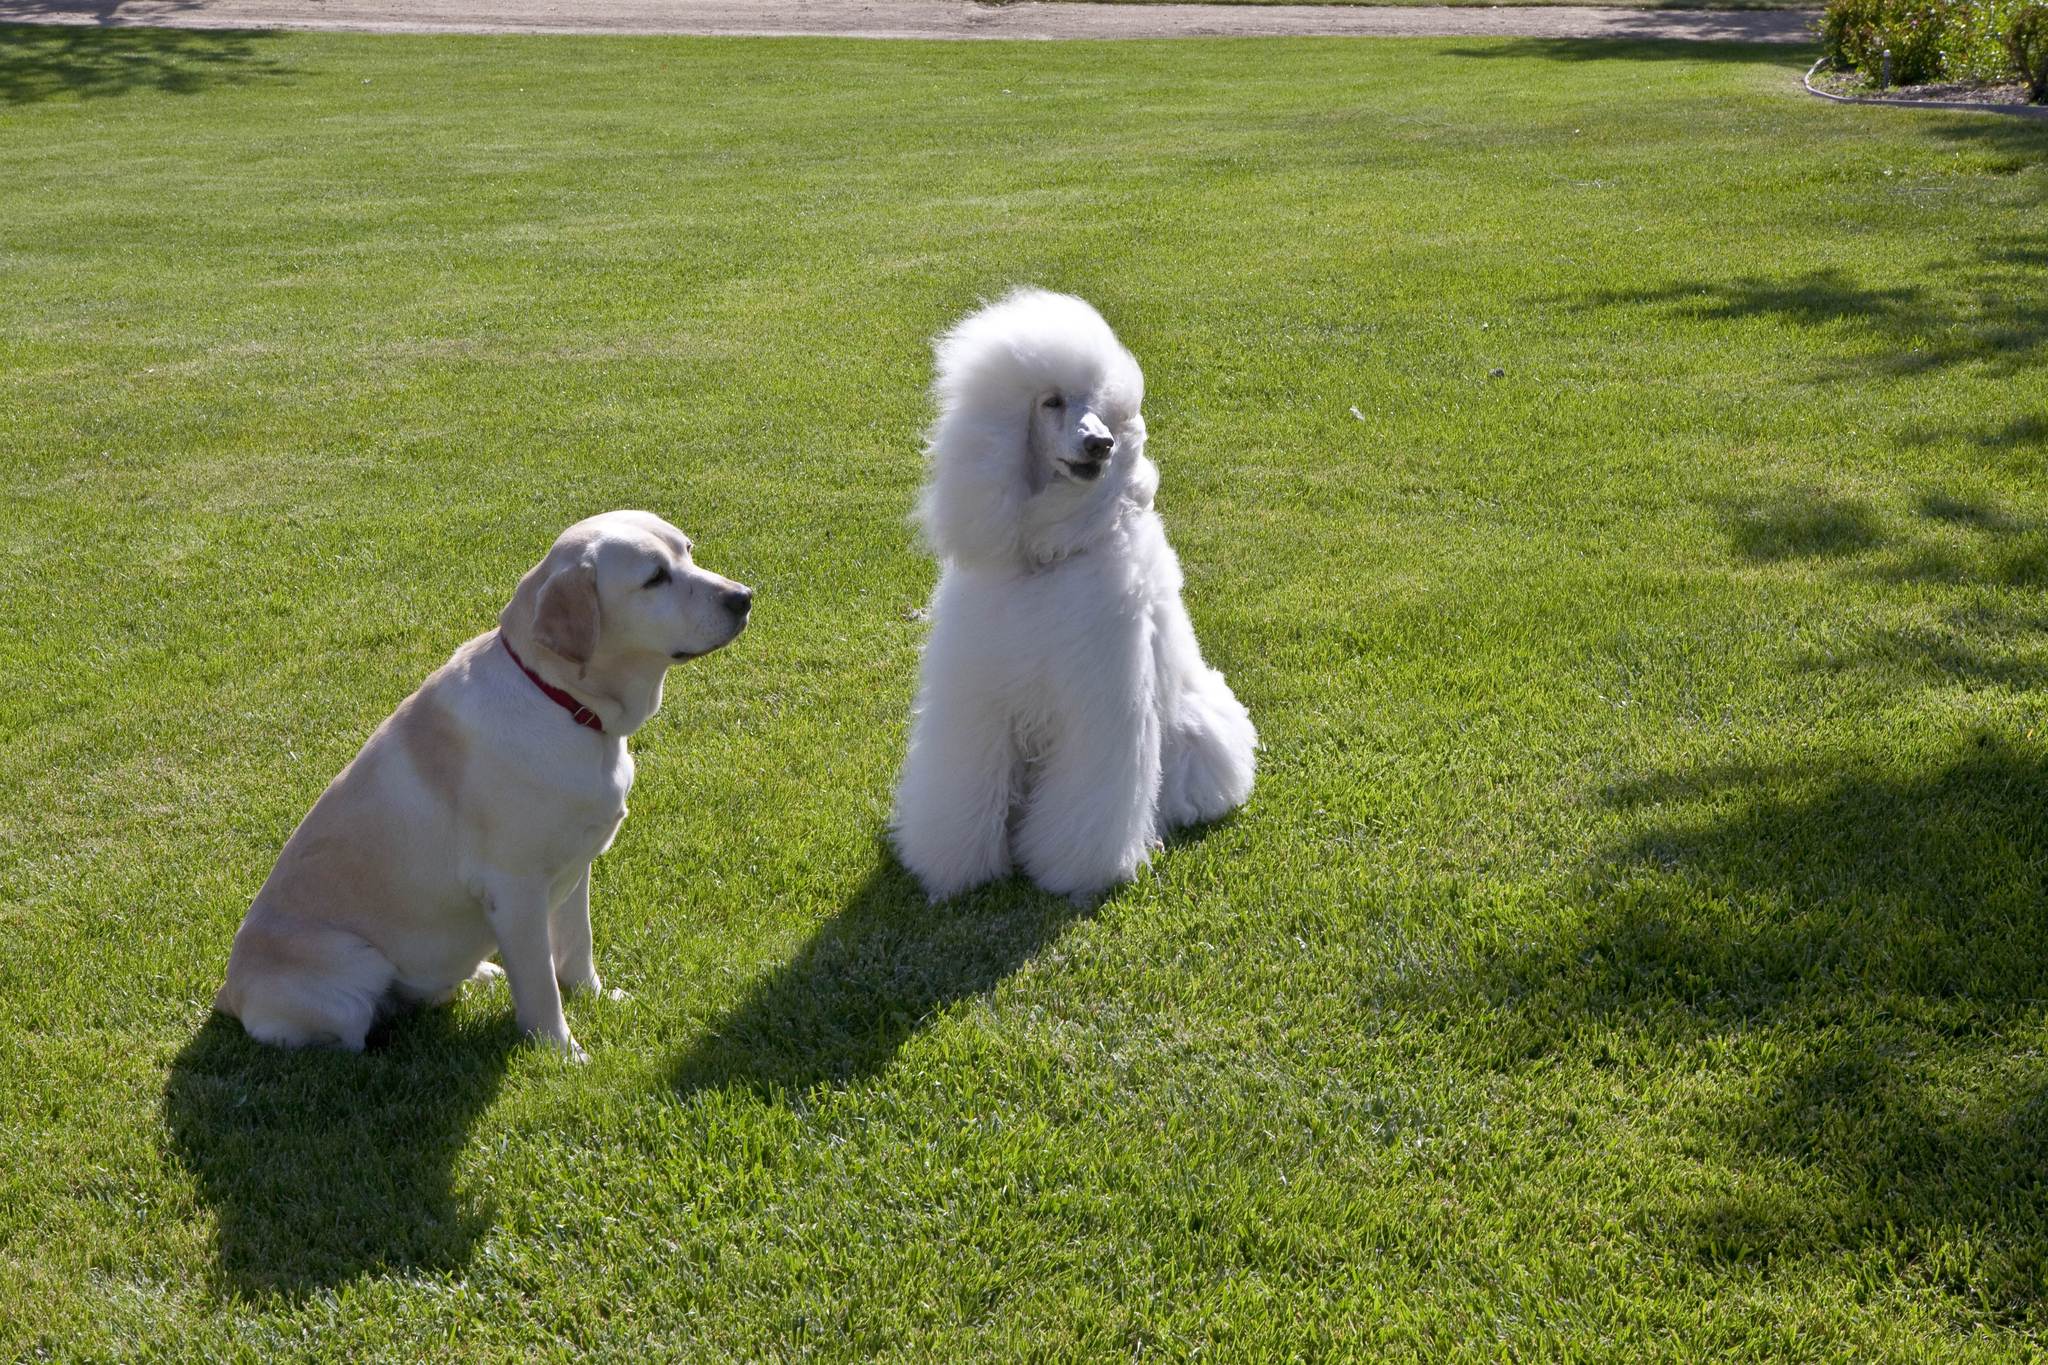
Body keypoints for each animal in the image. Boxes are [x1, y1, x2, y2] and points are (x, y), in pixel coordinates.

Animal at [214, 511, 753, 1055]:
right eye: (655, 578)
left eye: (688, 551)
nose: (744, 596)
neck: (562, 701)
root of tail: (225, 997)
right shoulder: (514, 889)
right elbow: (540, 985)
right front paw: (563, 1052)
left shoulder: (578, 865)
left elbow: (577, 946)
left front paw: (595, 997)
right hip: (353, 968)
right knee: (362, 1029)